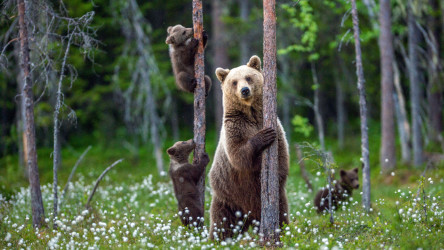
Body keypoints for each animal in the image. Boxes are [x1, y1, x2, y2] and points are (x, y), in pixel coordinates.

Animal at [209, 55, 290, 240]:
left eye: (248, 77)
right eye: (234, 82)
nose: (244, 90)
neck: (251, 113)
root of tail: (249, 216)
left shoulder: (276, 126)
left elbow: (282, 156)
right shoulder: (235, 127)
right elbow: (238, 155)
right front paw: (263, 136)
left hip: (274, 200)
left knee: (282, 213)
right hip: (227, 197)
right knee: (222, 223)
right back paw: (216, 240)